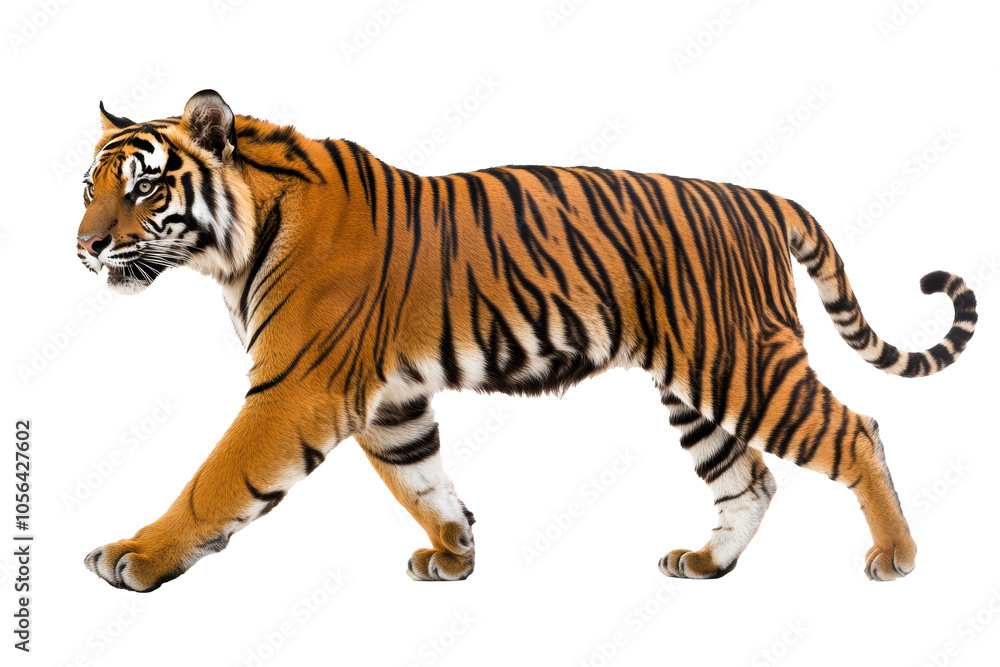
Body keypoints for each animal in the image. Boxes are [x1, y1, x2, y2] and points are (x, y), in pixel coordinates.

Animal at [76, 90, 977, 592]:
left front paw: (135, 556)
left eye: (145, 187)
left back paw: (896, 555)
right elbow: (420, 478)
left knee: (856, 431)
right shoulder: (390, 400)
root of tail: (761, 196)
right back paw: (706, 563)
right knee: (748, 478)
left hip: (744, 363)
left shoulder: (294, 387)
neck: (231, 245)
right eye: (89, 186)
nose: (84, 245)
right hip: (697, 387)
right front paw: (455, 553)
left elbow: (215, 482)